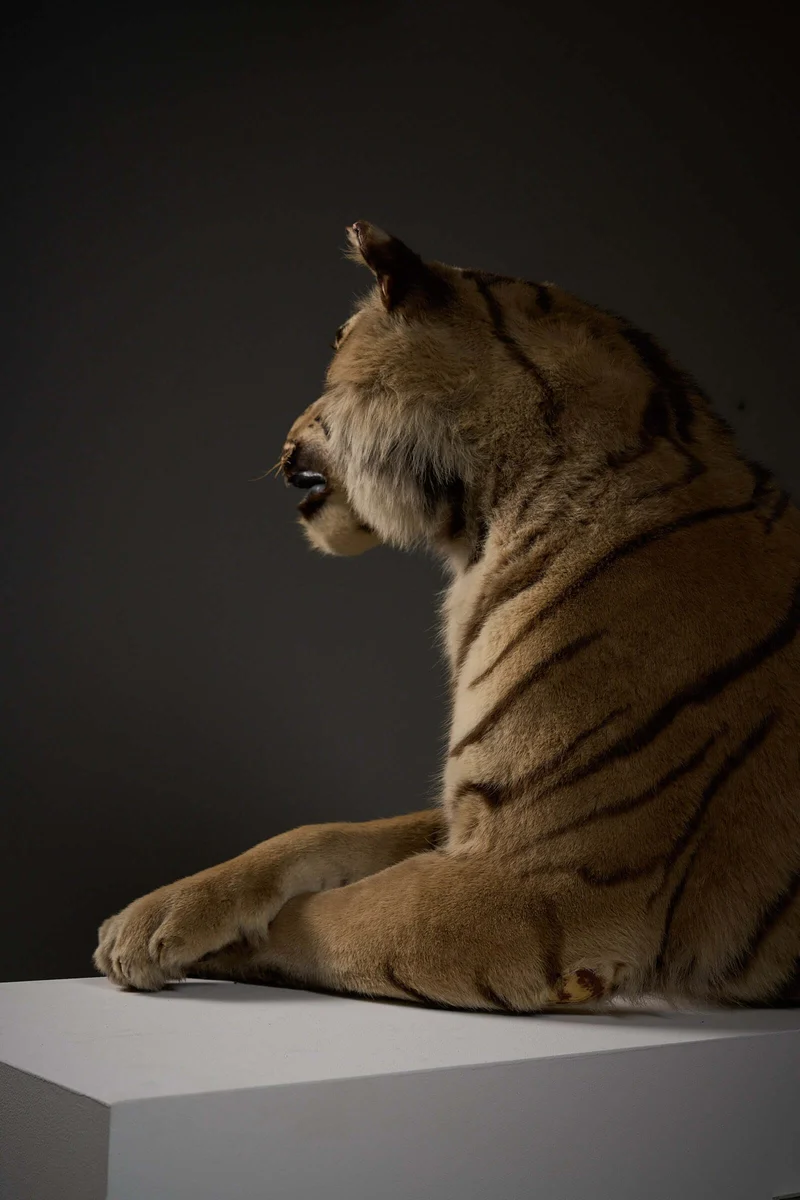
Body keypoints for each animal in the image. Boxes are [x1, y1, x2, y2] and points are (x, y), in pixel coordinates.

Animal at [94, 220, 800, 1012]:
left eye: (335, 355)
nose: (284, 436)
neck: (494, 521)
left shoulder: (535, 878)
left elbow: (319, 920)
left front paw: (198, 943)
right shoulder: (473, 816)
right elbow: (323, 834)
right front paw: (150, 917)